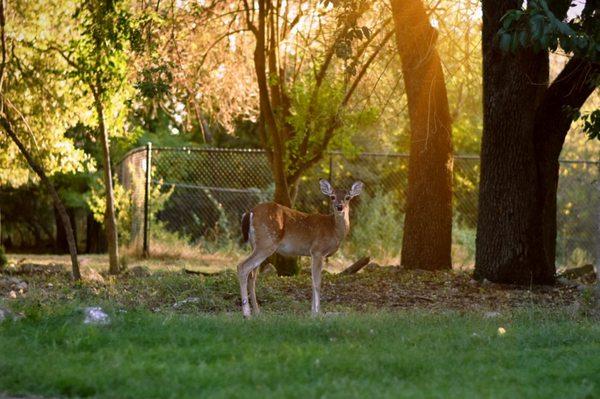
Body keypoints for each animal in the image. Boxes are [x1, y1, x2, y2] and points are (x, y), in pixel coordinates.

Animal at [238, 180, 360, 318]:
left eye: (348, 197)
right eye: (332, 196)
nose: (339, 206)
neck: (333, 229)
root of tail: (250, 212)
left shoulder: (314, 254)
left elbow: (312, 281)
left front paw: (312, 311)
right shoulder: (317, 250)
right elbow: (317, 282)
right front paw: (317, 313)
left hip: (256, 245)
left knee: (252, 276)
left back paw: (257, 312)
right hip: (266, 242)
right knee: (242, 267)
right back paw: (247, 314)